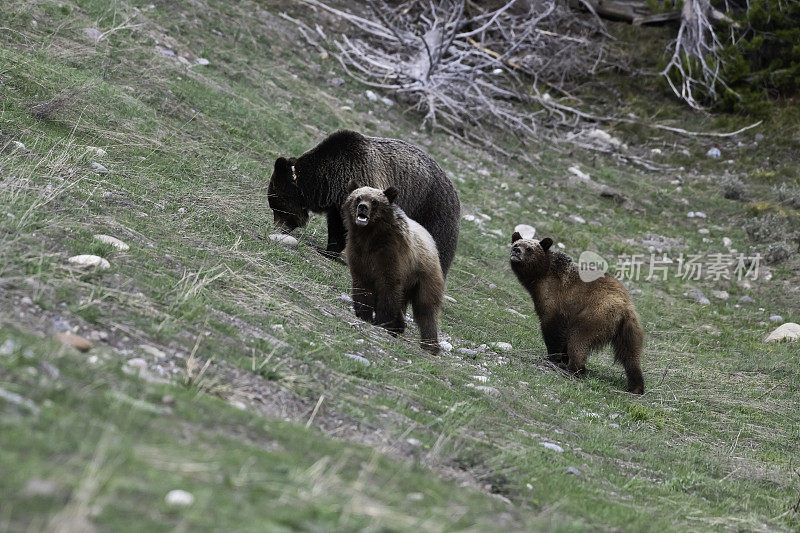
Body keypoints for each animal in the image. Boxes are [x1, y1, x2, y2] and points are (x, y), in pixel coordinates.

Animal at [268, 130, 460, 276]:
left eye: (277, 206)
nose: (277, 227)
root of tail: (454, 191)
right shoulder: (339, 203)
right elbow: (337, 227)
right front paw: (329, 250)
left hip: (433, 212)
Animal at [342, 183, 446, 354]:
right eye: (358, 197)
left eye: (374, 201)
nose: (363, 207)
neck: (369, 237)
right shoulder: (358, 254)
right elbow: (362, 285)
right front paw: (364, 314)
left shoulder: (391, 255)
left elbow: (388, 287)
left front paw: (383, 322)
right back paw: (400, 326)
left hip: (425, 275)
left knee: (426, 308)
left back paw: (430, 345)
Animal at [510, 231, 648, 392]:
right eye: (516, 244)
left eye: (529, 248)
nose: (516, 251)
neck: (540, 276)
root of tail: (624, 306)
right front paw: (562, 357)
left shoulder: (554, 300)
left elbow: (553, 328)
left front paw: (553, 357)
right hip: (630, 328)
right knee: (631, 355)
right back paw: (636, 386)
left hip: (595, 315)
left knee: (578, 339)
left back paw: (574, 369)